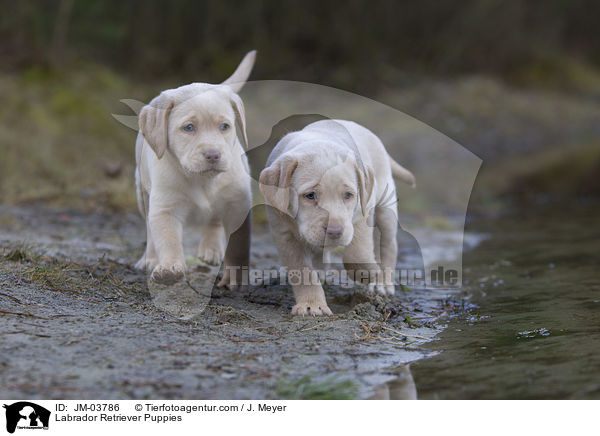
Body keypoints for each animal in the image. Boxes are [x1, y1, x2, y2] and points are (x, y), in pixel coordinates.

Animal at [134, 50, 255, 290]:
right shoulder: (165, 208)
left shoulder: (239, 205)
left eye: (225, 127)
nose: (213, 155)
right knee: (150, 230)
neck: (203, 180)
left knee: (214, 220)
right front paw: (170, 268)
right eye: (189, 128)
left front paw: (236, 275)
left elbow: (238, 244)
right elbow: (168, 239)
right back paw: (149, 259)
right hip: (142, 193)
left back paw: (211, 249)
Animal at [260, 119, 414, 316]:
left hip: (386, 209)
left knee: (388, 246)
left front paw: (368, 272)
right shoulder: (283, 233)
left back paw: (382, 284)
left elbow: (357, 252)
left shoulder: (362, 212)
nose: (334, 231)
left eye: (348, 195)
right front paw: (311, 304)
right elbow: (302, 270)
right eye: (310, 195)